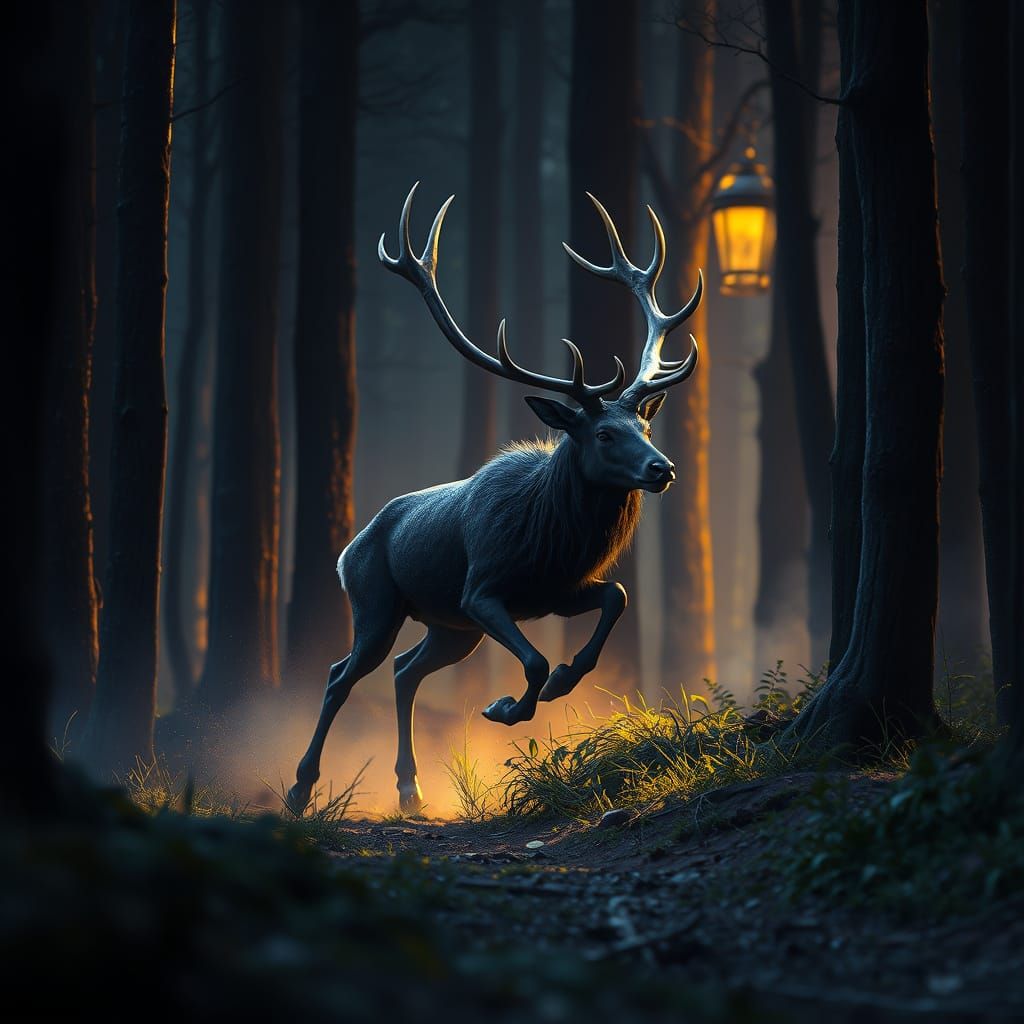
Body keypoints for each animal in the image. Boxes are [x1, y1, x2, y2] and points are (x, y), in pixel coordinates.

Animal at [287, 183, 702, 815]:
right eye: (605, 434)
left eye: (646, 427)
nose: (663, 468)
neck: (552, 535)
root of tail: (347, 549)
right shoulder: (482, 589)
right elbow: (532, 658)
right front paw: (508, 706)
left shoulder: (557, 590)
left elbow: (618, 596)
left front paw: (564, 680)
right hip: (378, 602)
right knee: (341, 674)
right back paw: (299, 787)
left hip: (451, 629)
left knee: (405, 671)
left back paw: (410, 789)